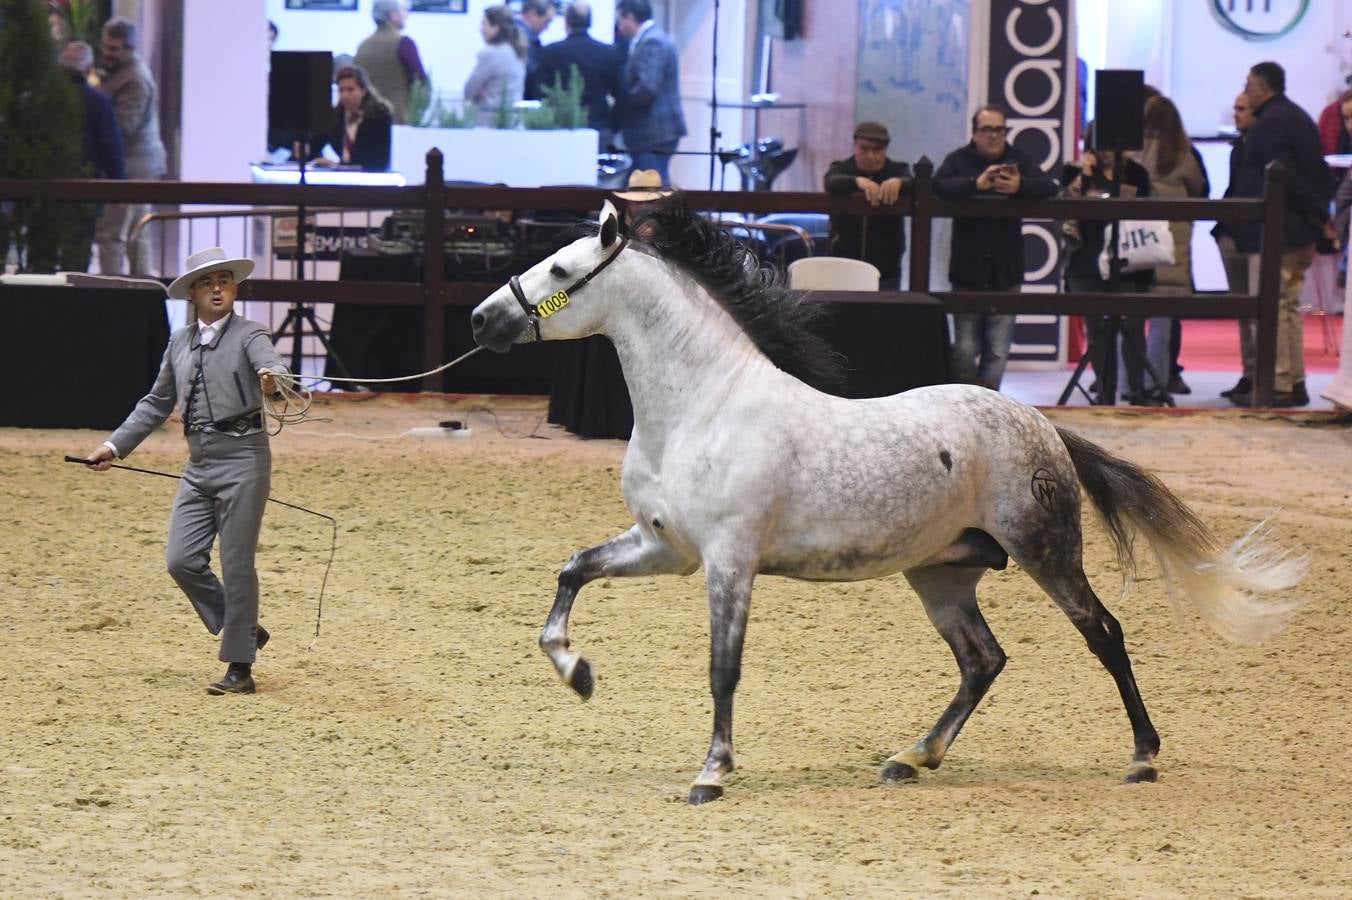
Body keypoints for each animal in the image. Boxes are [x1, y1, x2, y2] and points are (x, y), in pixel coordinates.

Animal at [470, 200, 1303, 800]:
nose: (483, 320)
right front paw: (576, 672)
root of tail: (1043, 425)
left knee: (1104, 634)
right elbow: (573, 570)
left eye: (559, 266)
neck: (703, 406)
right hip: (942, 574)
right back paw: (913, 756)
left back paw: (1142, 757)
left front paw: (711, 773)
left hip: (1045, 552)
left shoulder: (728, 561)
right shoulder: (663, 547)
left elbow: (722, 667)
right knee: (983, 659)